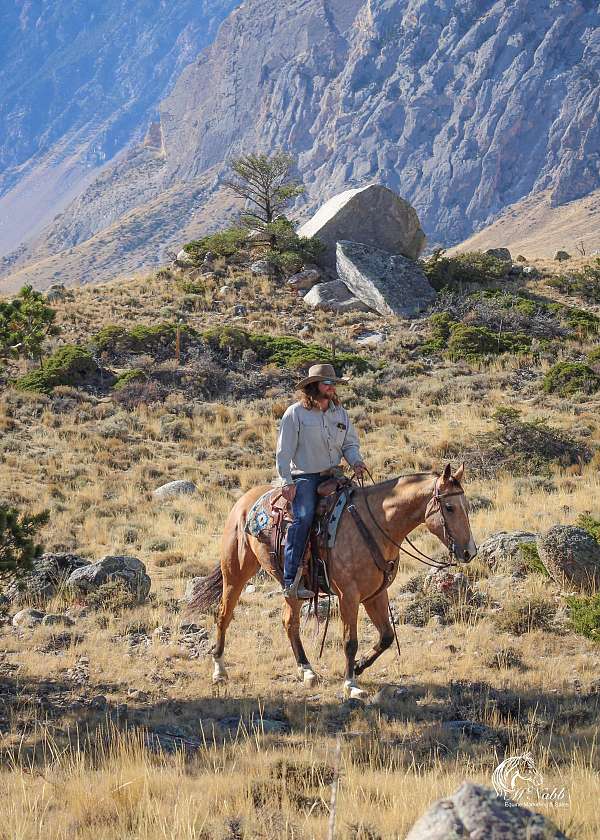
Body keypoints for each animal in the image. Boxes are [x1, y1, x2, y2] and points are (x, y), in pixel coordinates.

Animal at [188, 462, 478, 700]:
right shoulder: (349, 595)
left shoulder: (375, 594)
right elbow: (350, 641)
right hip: (235, 573)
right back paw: (219, 670)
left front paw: (359, 667)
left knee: (289, 622)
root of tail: (244, 501)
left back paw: (307, 670)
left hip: (293, 587)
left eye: (466, 506)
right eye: (450, 507)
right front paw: (351, 684)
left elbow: (386, 636)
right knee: (223, 616)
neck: (377, 524)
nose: (469, 552)